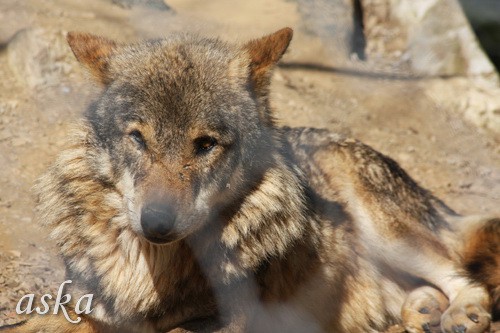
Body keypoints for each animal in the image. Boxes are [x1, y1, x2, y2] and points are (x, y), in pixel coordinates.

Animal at [1, 28, 498, 332]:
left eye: (205, 144)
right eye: (138, 138)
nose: (156, 224)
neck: (151, 268)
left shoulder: (234, 320)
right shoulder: (83, 307)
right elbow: (38, 322)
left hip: (384, 227)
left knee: (464, 276)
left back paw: (463, 313)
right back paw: (423, 311)